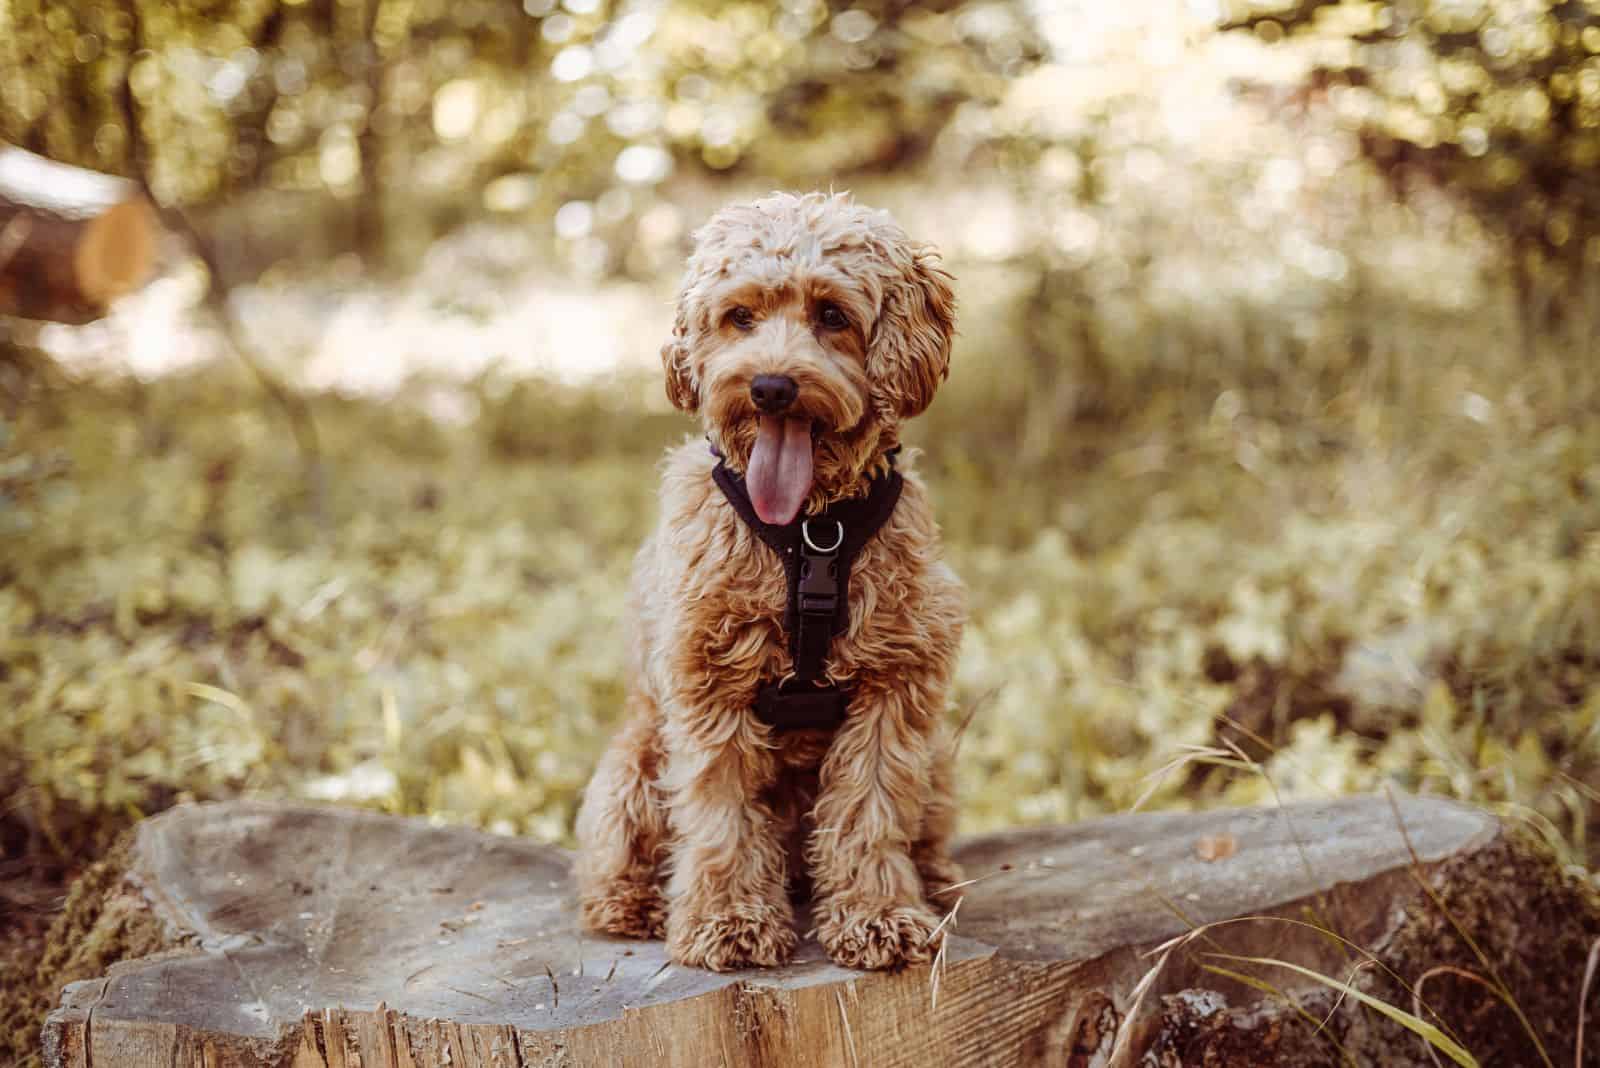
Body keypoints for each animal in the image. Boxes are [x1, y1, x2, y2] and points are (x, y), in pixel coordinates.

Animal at [582, 187, 966, 972]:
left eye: (833, 315)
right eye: (740, 316)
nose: (770, 387)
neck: (811, 532)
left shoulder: (898, 681)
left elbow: (871, 808)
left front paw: (878, 914)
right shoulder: (709, 685)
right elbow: (722, 814)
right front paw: (727, 921)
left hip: (940, 761)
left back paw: (934, 879)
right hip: (634, 763)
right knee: (616, 856)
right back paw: (634, 905)